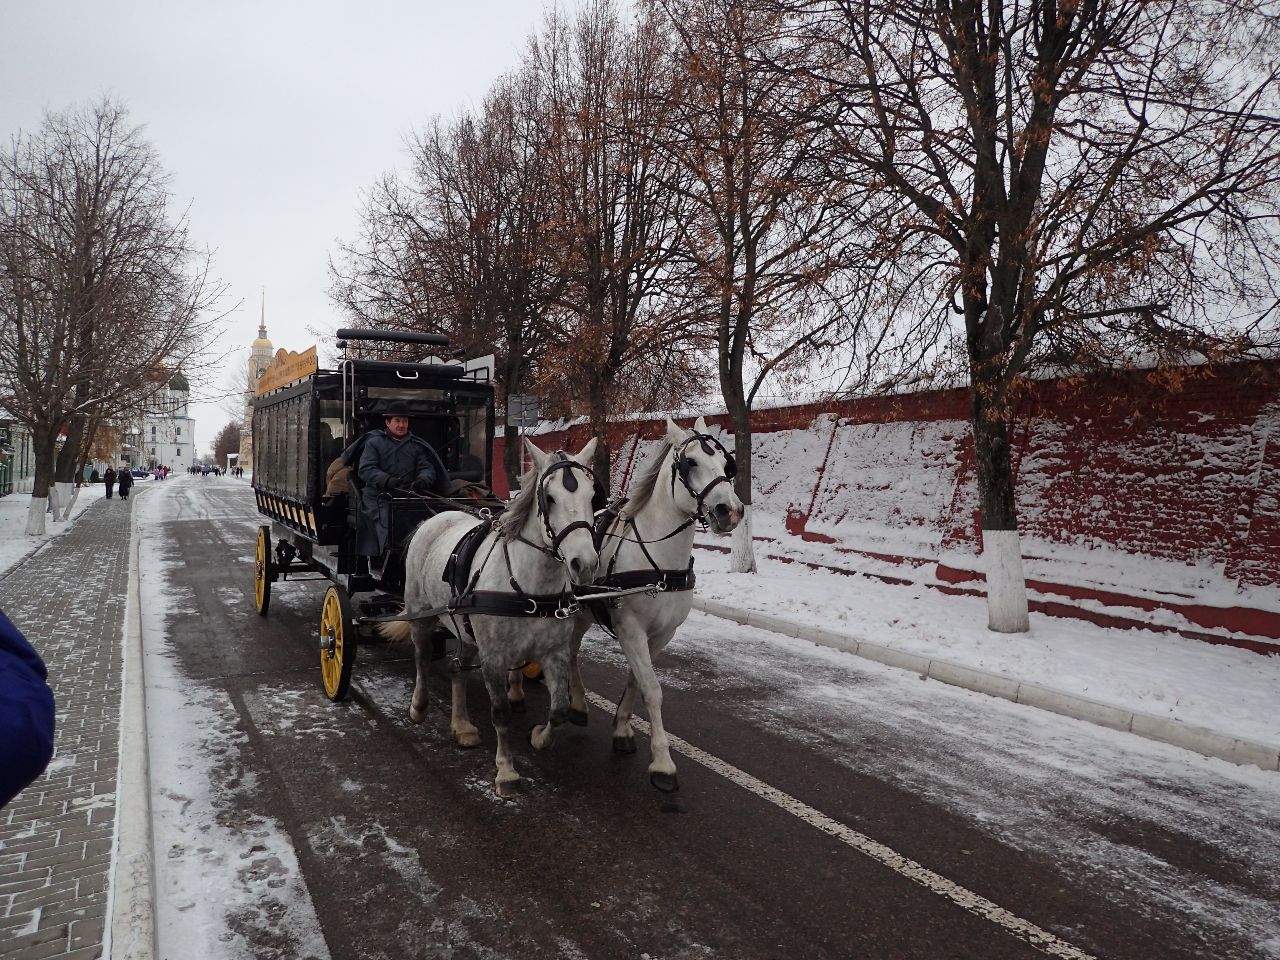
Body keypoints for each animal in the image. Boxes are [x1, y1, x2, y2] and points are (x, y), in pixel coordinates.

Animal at [378, 435, 599, 798]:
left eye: (592, 496)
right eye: (550, 498)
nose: (585, 563)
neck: (530, 588)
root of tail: (435, 517)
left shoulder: (554, 654)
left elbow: (559, 711)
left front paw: (539, 737)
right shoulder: (495, 658)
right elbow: (501, 714)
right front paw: (506, 771)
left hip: (463, 625)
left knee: (457, 670)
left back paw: (462, 725)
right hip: (422, 614)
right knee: (422, 658)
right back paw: (419, 707)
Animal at [514, 419, 747, 798]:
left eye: (726, 463)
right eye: (691, 462)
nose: (731, 511)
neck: (661, 564)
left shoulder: (662, 635)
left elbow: (637, 681)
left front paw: (622, 729)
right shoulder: (631, 629)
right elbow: (653, 689)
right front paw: (663, 764)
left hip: (581, 614)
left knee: (573, 652)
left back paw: (577, 703)